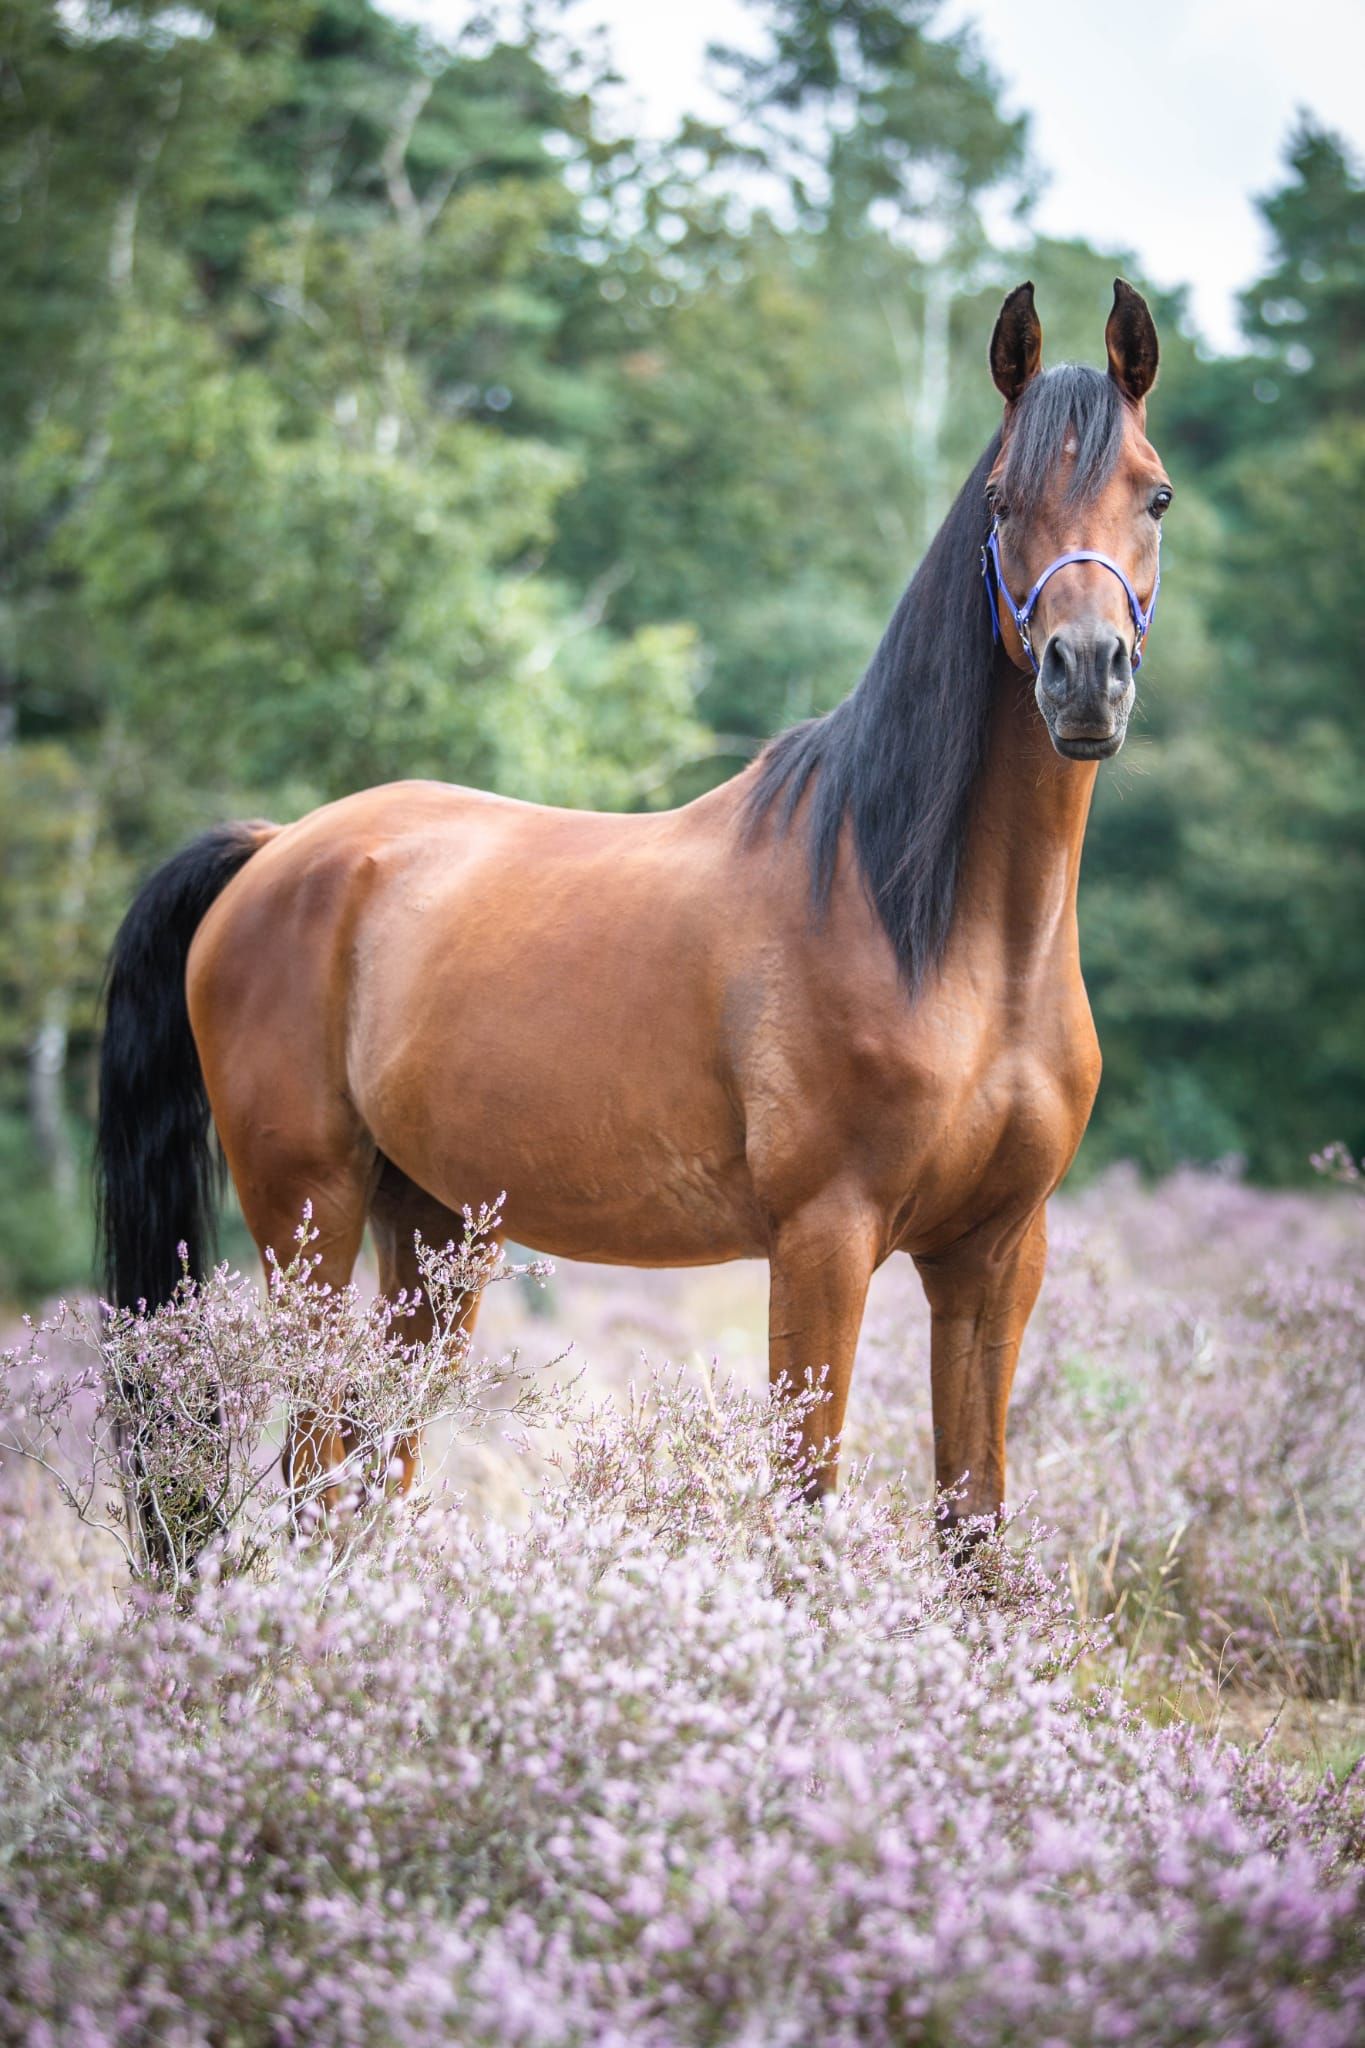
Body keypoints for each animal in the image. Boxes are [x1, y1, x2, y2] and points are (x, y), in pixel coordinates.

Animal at [96, 279, 1170, 1553]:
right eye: (1004, 501)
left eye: (1153, 492)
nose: (1086, 673)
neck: (953, 937)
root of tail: (274, 850)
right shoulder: (824, 1239)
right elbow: (804, 1506)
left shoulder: (996, 1254)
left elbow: (974, 1527)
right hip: (308, 1215)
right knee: (315, 1467)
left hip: (434, 1230)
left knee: (373, 1467)